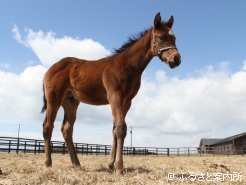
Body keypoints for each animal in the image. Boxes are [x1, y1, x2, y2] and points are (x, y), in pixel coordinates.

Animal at [41, 12, 181, 174]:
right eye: (161, 37)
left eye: (174, 38)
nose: (176, 59)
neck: (126, 66)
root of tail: (50, 69)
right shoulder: (115, 97)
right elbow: (121, 128)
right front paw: (119, 167)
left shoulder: (127, 102)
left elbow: (115, 129)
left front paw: (111, 164)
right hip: (54, 100)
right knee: (47, 127)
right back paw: (48, 163)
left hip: (71, 102)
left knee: (66, 129)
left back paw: (76, 164)